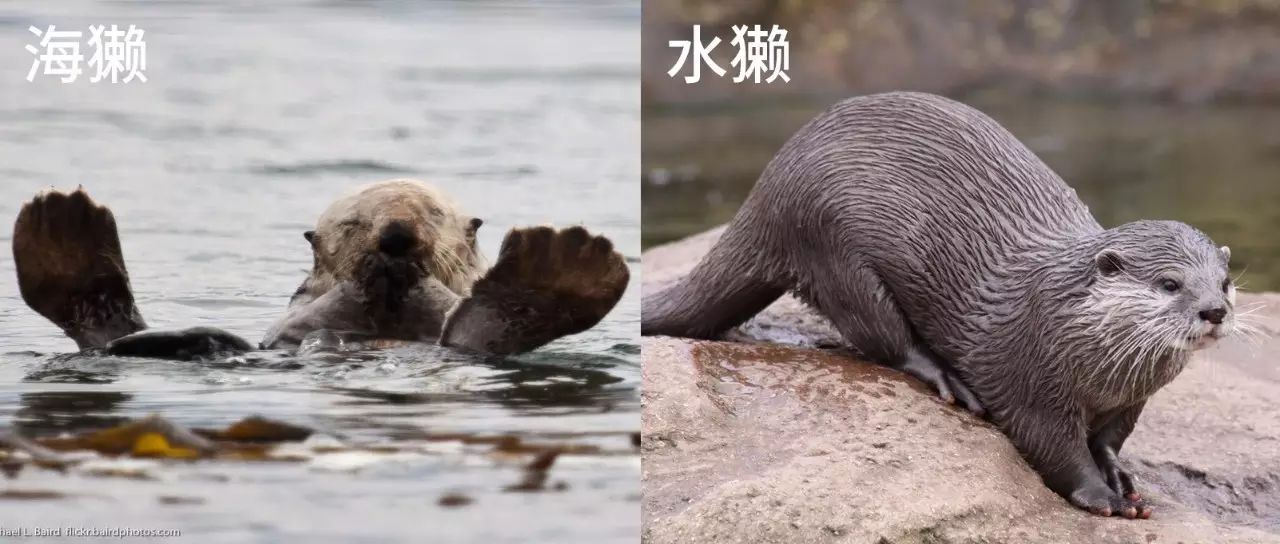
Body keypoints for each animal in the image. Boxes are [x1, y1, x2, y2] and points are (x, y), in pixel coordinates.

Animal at [645, 92, 1233, 517]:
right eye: (1169, 283)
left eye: (1224, 281)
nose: (1215, 311)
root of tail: (767, 188)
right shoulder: (1031, 381)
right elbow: (1054, 449)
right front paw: (1102, 496)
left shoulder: (1132, 401)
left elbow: (1110, 441)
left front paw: (1119, 476)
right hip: (831, 246)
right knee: (884, 337)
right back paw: (948, 379)